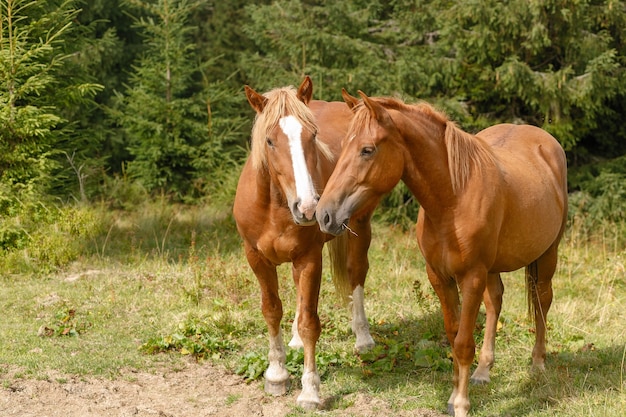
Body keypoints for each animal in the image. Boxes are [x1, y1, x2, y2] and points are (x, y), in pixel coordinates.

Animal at [232, 76, 372, 408]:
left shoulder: (309, 257)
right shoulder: (256, 258)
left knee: (357, 273)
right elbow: (272, 310)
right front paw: (276, 374)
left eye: (313, 135)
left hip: (360, 228)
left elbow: (311, 322)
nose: (308, 208)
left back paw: (363, 337)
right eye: (269, 141)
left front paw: (310, 391)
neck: (274, 207)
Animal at [316, 91, 564, 416]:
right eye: (344, 145)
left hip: (548, 254)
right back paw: (483, 371)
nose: (324, 215)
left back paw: (537, 364)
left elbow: (462, 343)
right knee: (495, 301)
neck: (454, 200)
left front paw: (460, 403)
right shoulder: (439, 277)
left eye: (367, 150)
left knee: (541, 299)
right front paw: (455, 392)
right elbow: (453, 333)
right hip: (493, 269)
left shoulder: (471, 277)